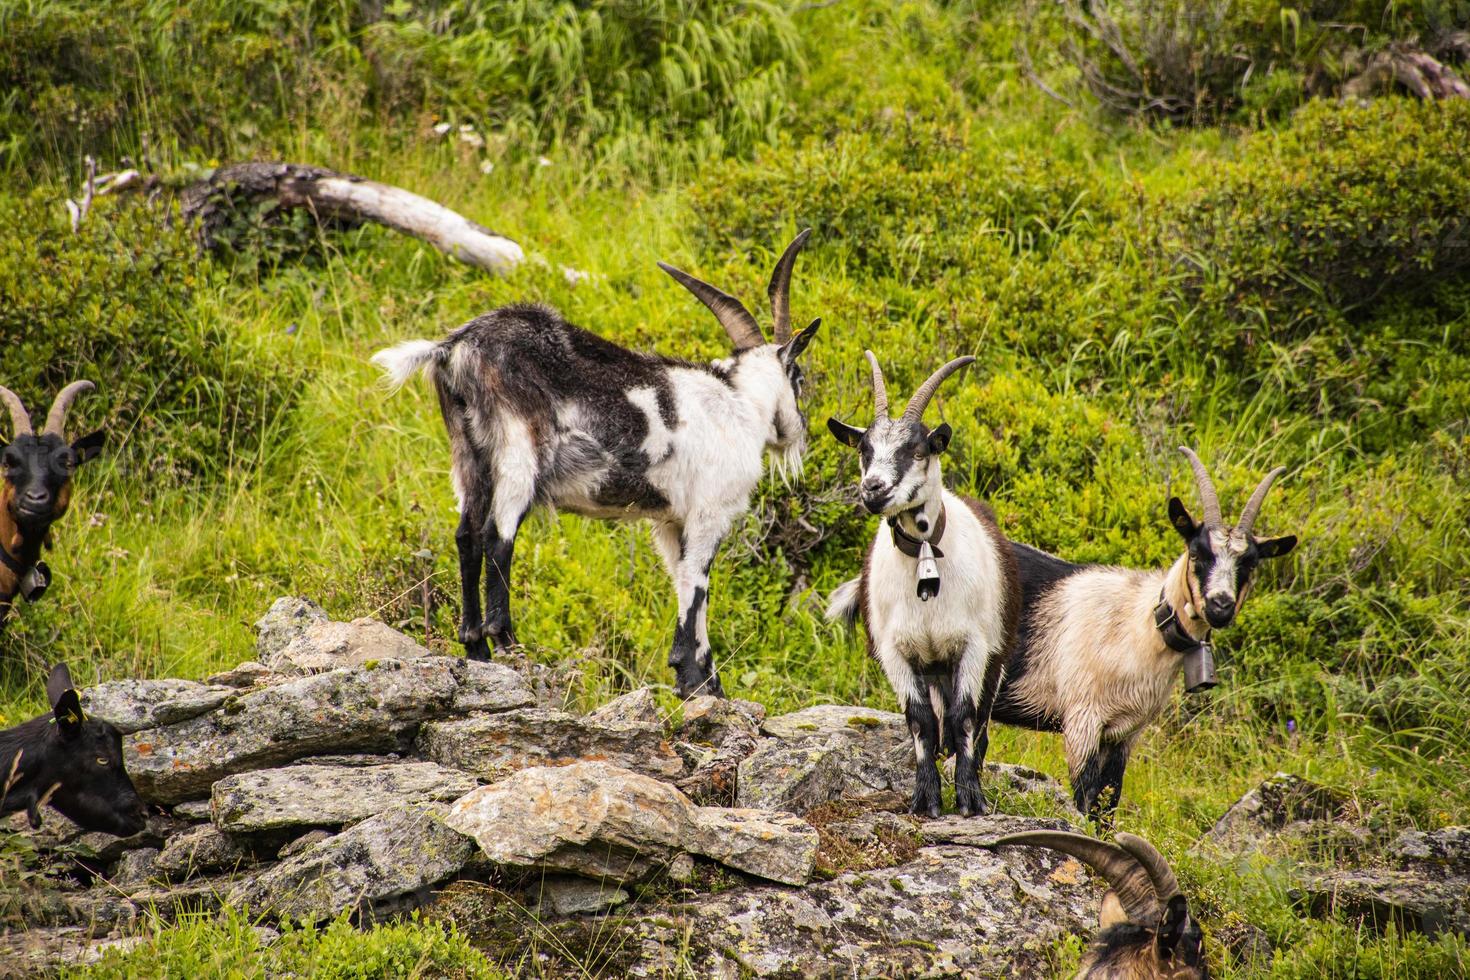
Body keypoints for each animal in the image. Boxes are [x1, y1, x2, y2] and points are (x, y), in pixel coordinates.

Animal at [373, 235, 823, 702]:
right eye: (800, 377)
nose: (798, 431)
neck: (738, 403)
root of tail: (454, 348)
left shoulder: (671, 522)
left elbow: (682, 580)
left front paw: (707, 684)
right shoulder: (709, 511)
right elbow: (697, 583)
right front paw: (691, 680)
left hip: (468, 456)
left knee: (466, 535)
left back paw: (475, 648)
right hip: (517, 450)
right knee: (498, 536)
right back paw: (510, 645)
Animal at [829, 354, 1023, 822]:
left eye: (917, 450)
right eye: (864, 450)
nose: (873, 489)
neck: (924, 560)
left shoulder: (974, 646)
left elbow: (966, 717)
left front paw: (970, 799)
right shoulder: (895, 651)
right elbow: (920, 721)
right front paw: (926, 800)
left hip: (995, 655)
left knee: (979, 720)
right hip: (934, 668)